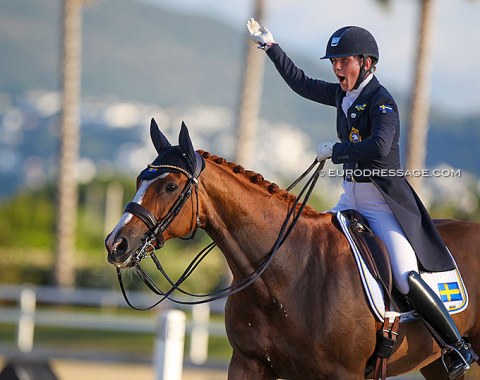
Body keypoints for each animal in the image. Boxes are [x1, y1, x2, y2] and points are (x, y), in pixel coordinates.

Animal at [105, 121, 480, 378]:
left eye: (170, 186)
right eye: (138, 180)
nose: (116, 244)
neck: (284, 275)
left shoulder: (342, 374)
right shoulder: (248, 364)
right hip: (435, 365)